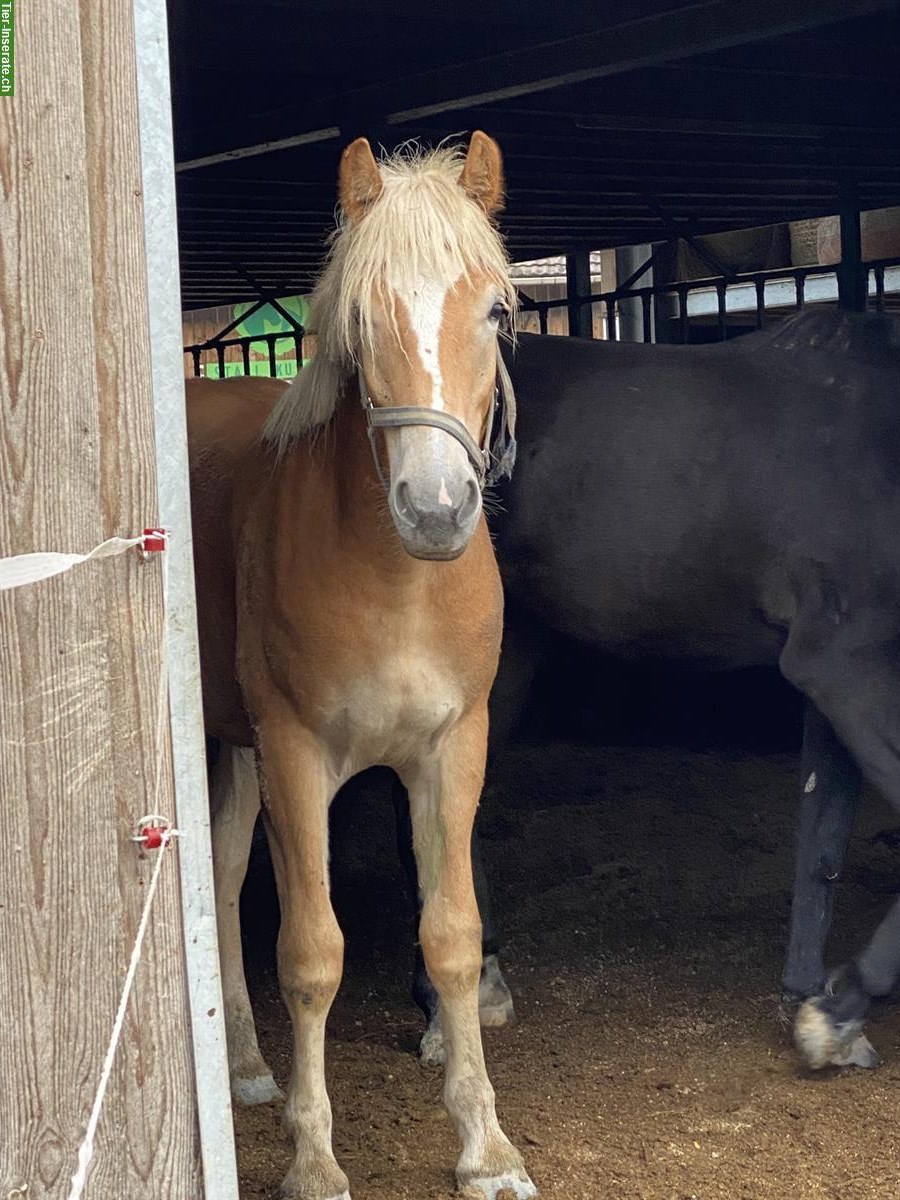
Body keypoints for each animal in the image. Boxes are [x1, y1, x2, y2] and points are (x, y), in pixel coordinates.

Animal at [184, 136, 535, 1195]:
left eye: (497, 311)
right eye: (360, 318)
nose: (437, 509)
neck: (399, 585)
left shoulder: (453, 751)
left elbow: (452, 937)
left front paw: (486, 1147)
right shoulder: (297, 754)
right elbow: (311, 954)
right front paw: (313, 1159)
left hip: (241, 748)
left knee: (223, 867)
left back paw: (245, 1066)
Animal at [398, 307, 900, 1070]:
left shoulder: (832, 682)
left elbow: (822, 845)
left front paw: (813, 1004)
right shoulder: (847, 668)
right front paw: (839, 1011)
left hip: (509, 649)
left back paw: (480, 978)